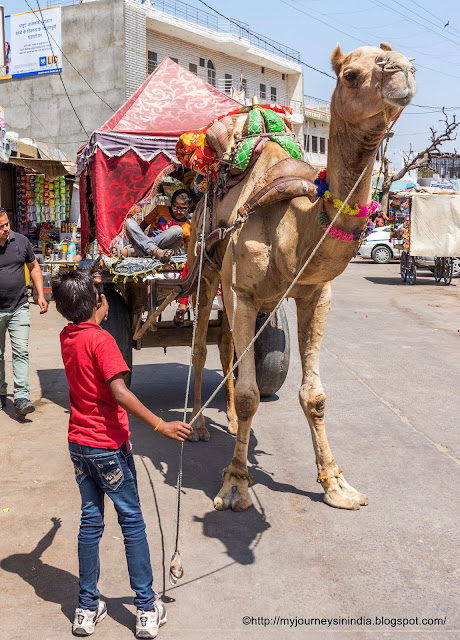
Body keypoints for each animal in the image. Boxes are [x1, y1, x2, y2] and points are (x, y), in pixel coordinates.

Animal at [185, 41, 416, 510]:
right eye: (350, 74)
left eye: (408, 64)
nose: (401, 70)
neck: (297, 223)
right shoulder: (243, 291)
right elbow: (253, 393)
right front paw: (235, 484)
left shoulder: (315, 293)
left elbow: (315, 395)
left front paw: (336, 484)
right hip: (207, 268)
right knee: (200, 347)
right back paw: (198, 425)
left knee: (227, 347)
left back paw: (229, 419)